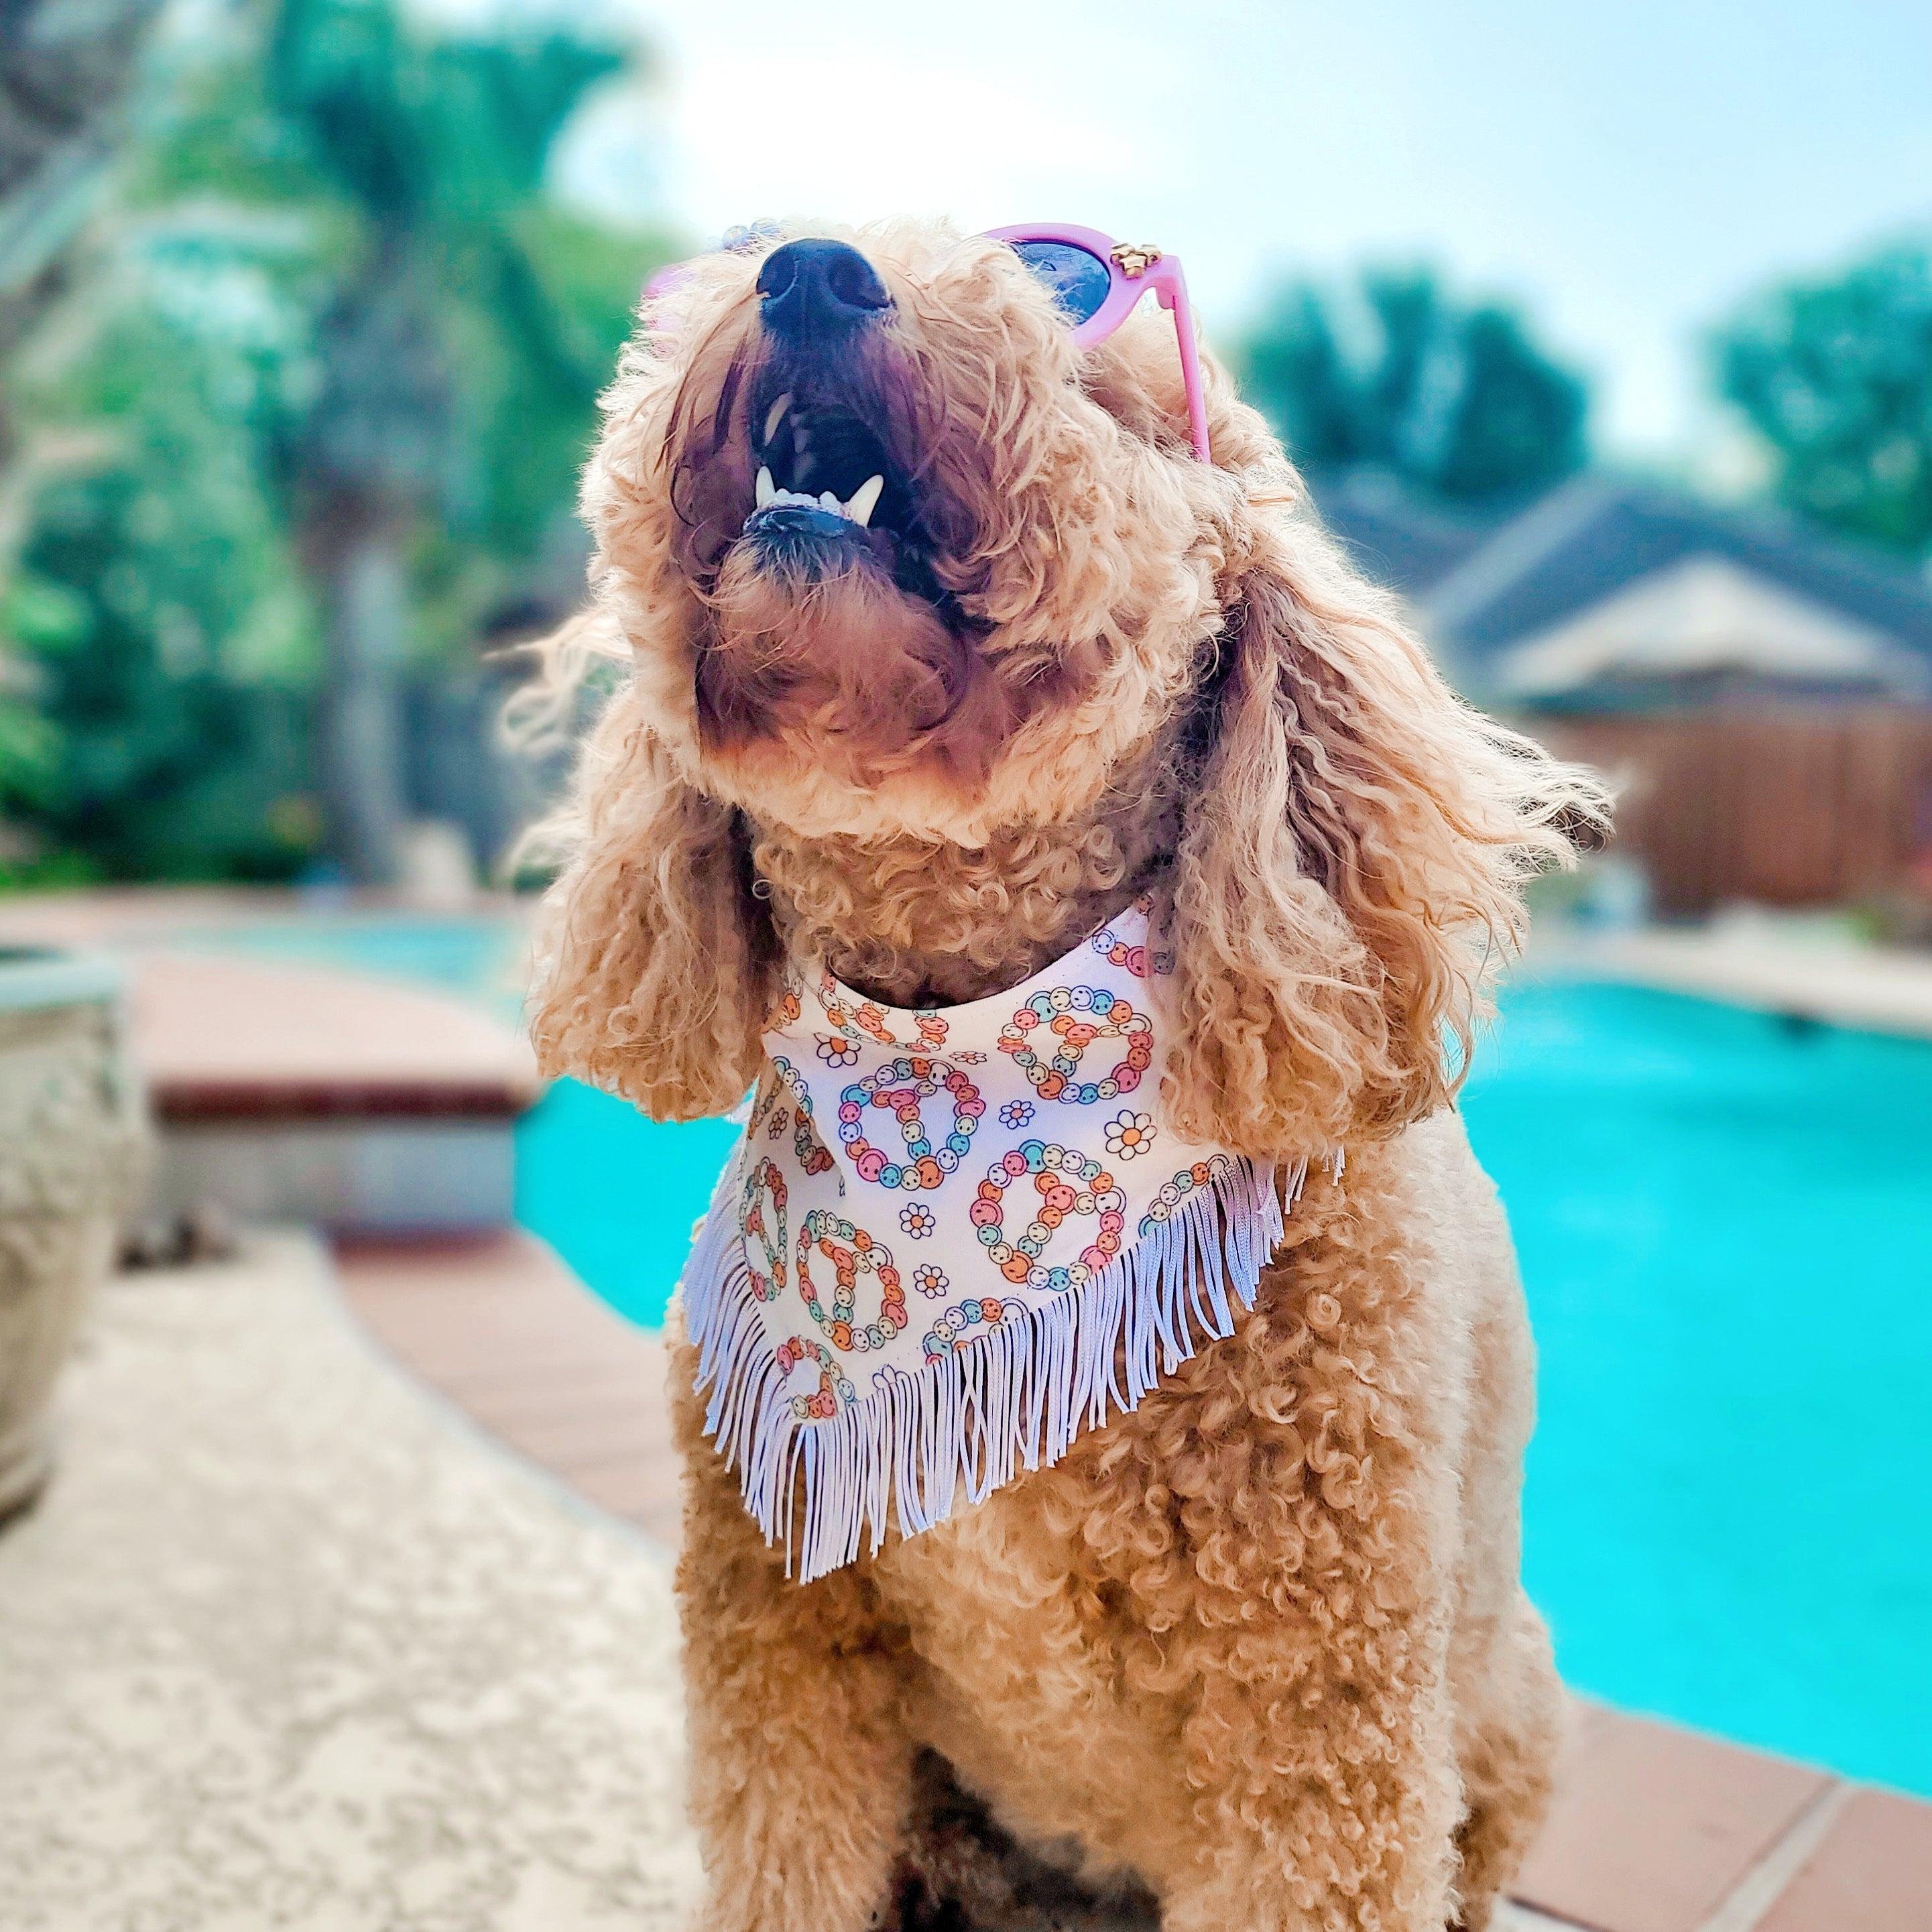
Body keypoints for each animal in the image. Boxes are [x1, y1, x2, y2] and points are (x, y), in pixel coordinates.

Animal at [522, 219, 1607, 1932]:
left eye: (1061, 300)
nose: (813, 269)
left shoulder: (1316, 1727)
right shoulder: (783, 1643)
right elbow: (785, 1852)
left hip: (1509, 1705)